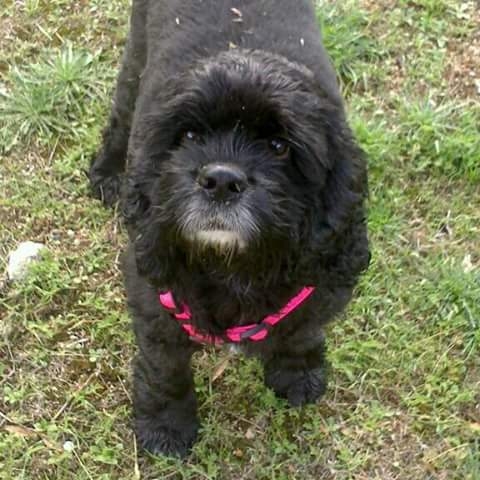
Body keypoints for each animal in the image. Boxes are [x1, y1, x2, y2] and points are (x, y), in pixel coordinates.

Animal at [89, 0, 370, 457]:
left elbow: (302, 331)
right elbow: (164, 366)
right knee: (122, 109)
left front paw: (297, 374)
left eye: (279, 146)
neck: (233, 265)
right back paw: (108, 172)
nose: (220, 180)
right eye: (188, 135)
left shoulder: (319, 284)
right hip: (135, 54)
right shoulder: (154, 294)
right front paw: (166, 427)